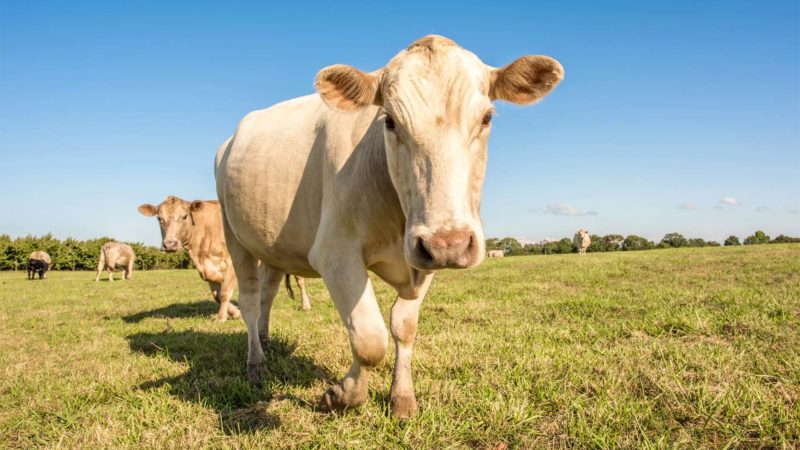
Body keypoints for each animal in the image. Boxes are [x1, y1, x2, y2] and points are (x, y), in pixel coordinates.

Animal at [138, 196, 312, 321]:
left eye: (184, 216)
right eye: (159, 218)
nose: (169, 244)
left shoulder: (231, 264)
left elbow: (224, 293)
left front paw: (221, 318)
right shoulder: (208, 269)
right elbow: (216, 295)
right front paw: (236, 312)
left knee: (300, 281)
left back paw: (305, 305)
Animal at [214, 35, 563, 417]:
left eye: (486, 118)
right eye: (391, 121)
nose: (450, 244)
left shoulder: (422, 254)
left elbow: (403, 327)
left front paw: (402, 397)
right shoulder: (335, 253)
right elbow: (370, 339)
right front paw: (341, 395)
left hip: (274, 245)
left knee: (267, 294)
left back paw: (264, 340)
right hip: (233, 235)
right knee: (249, 299)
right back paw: (256, 363)